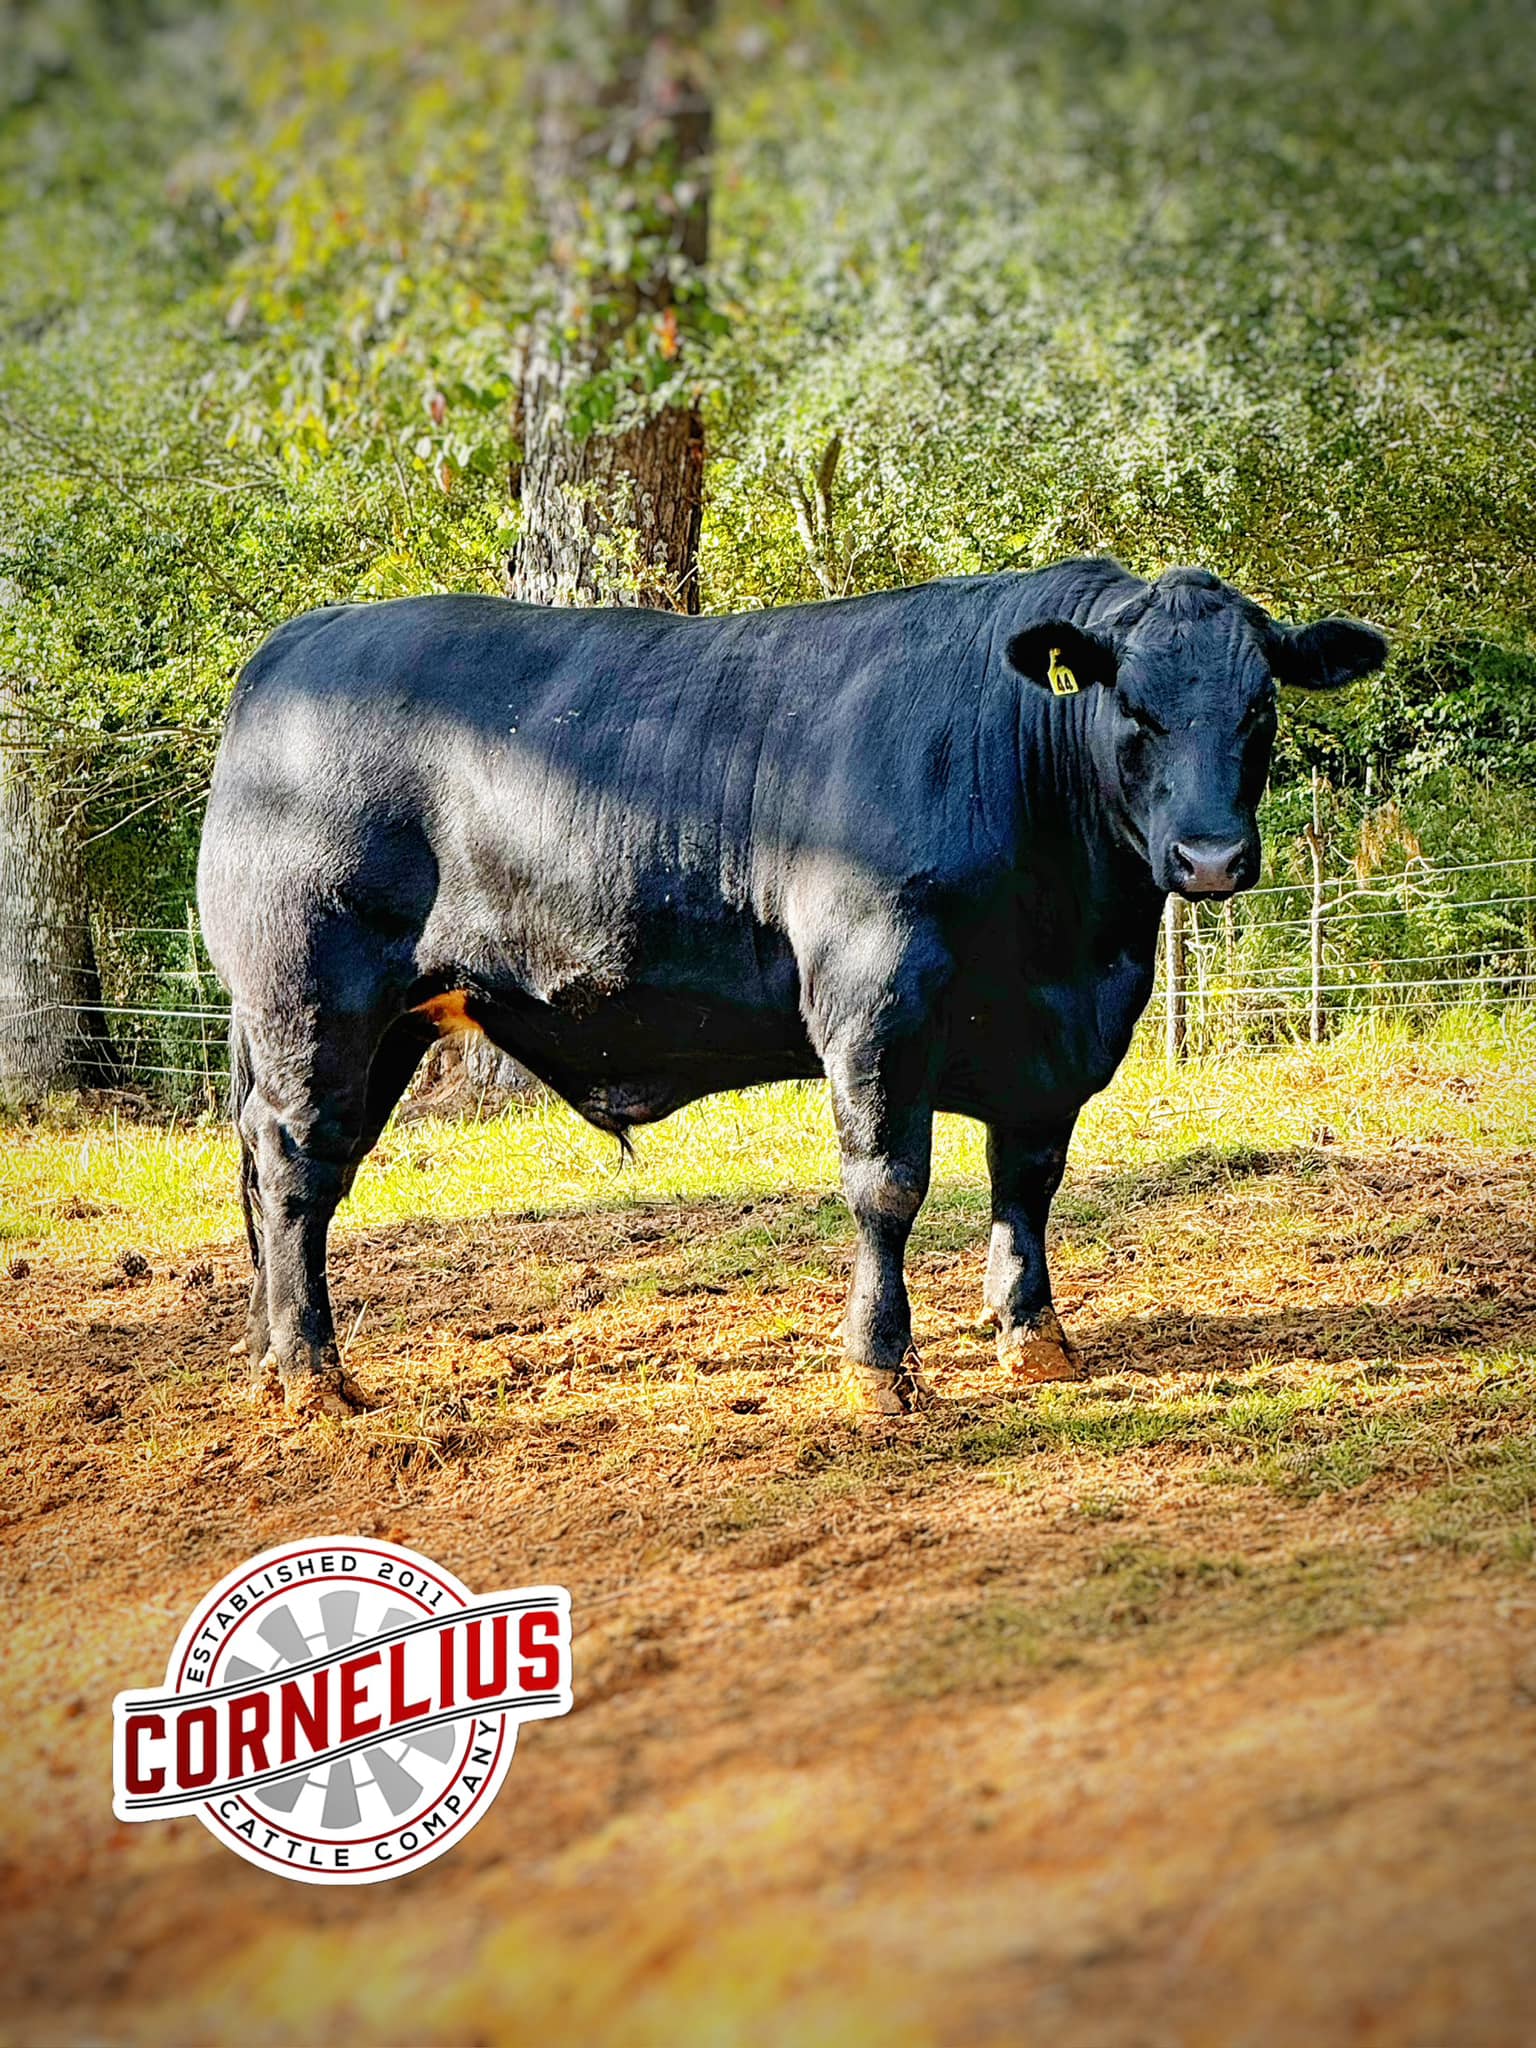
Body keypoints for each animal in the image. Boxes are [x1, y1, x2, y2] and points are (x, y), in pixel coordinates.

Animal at [197, 558, 1387, 1418]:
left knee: (289, 1173)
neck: (1070, 934)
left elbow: (1028, 1180)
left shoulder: (1055, 1042)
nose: (1211, 857)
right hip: (312, 998)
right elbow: (888, 1184)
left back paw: (269, 1356)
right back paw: (313, 1376)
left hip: (377, 1025)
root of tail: (302, 639)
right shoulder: (875, 997)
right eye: (1133, 709)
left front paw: (1033, 1337)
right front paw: (880, 1367)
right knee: (297, 1165)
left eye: (1261, 708)